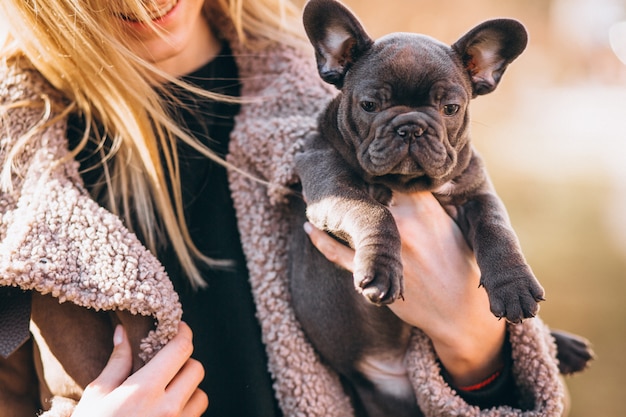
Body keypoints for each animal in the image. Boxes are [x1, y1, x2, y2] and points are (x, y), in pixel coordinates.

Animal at [288, 0, 588, 416]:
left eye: (450, 108)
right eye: (369, 105)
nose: (411, 127)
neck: (407, 184)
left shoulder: (476, 191)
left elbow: (497, 228)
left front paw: (514, 286)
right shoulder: (330, 188)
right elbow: (373, 211)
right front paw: (381, 268)